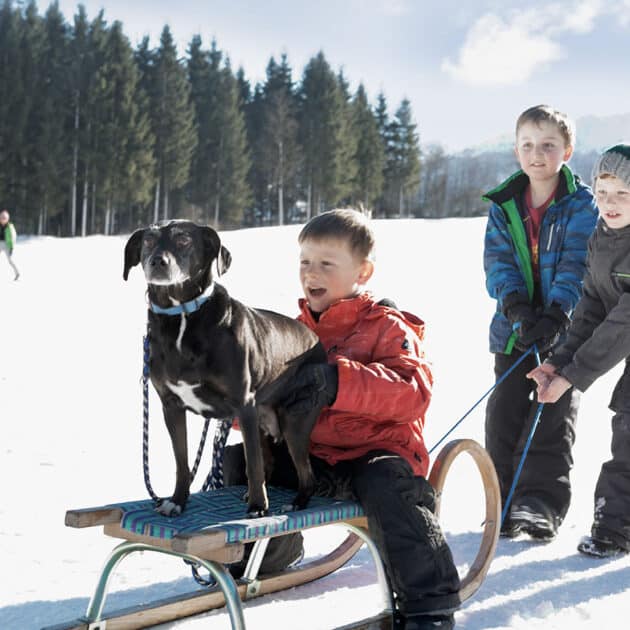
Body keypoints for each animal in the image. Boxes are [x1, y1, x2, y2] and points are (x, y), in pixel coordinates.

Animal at [125, 222, 328, 520]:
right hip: (262, 420)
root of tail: (317, 341)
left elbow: (252, 464)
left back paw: (296, 501)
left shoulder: (243, 404)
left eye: (183, 239)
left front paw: (257, 507)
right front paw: (177, 501)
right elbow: (182, 462)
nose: (157, 262)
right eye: (149, 240)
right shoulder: (171, 406)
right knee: (268, 461)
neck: (181, 316)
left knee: (305, 473)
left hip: (295, 419)